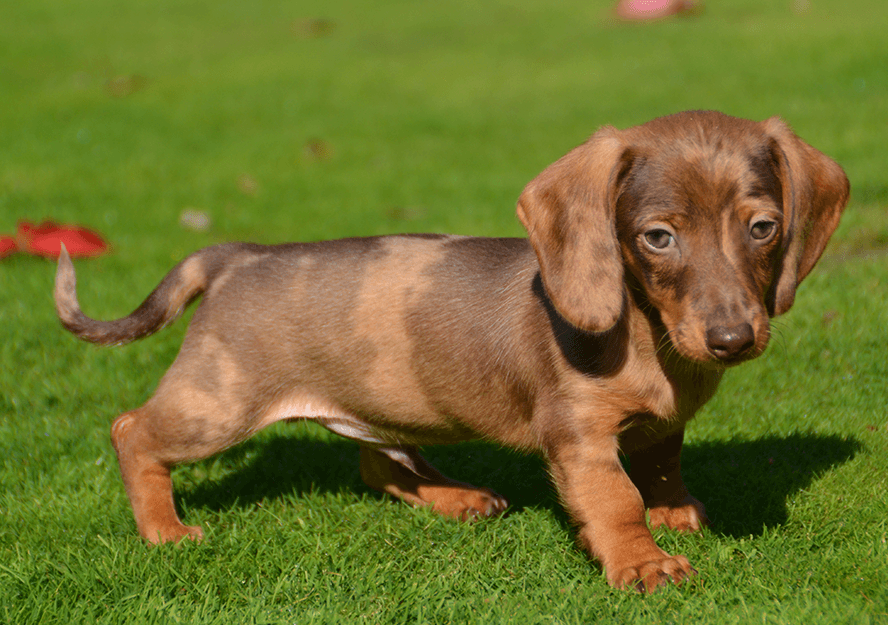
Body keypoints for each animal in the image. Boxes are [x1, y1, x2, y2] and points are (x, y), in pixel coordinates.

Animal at [53, 111, 848, 588]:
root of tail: (236, 256)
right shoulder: (581, 437)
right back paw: (163, 529)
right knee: (133, 432)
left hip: (382, 410)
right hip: (216, 404)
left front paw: (675, 511)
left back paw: (458, 496)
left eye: (763, 227)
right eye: (658, 236)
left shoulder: (662, 426)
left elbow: (660, 468)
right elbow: (617, 498)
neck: (652, 336)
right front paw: (641, 562)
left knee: (380, 466)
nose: (732, 339)